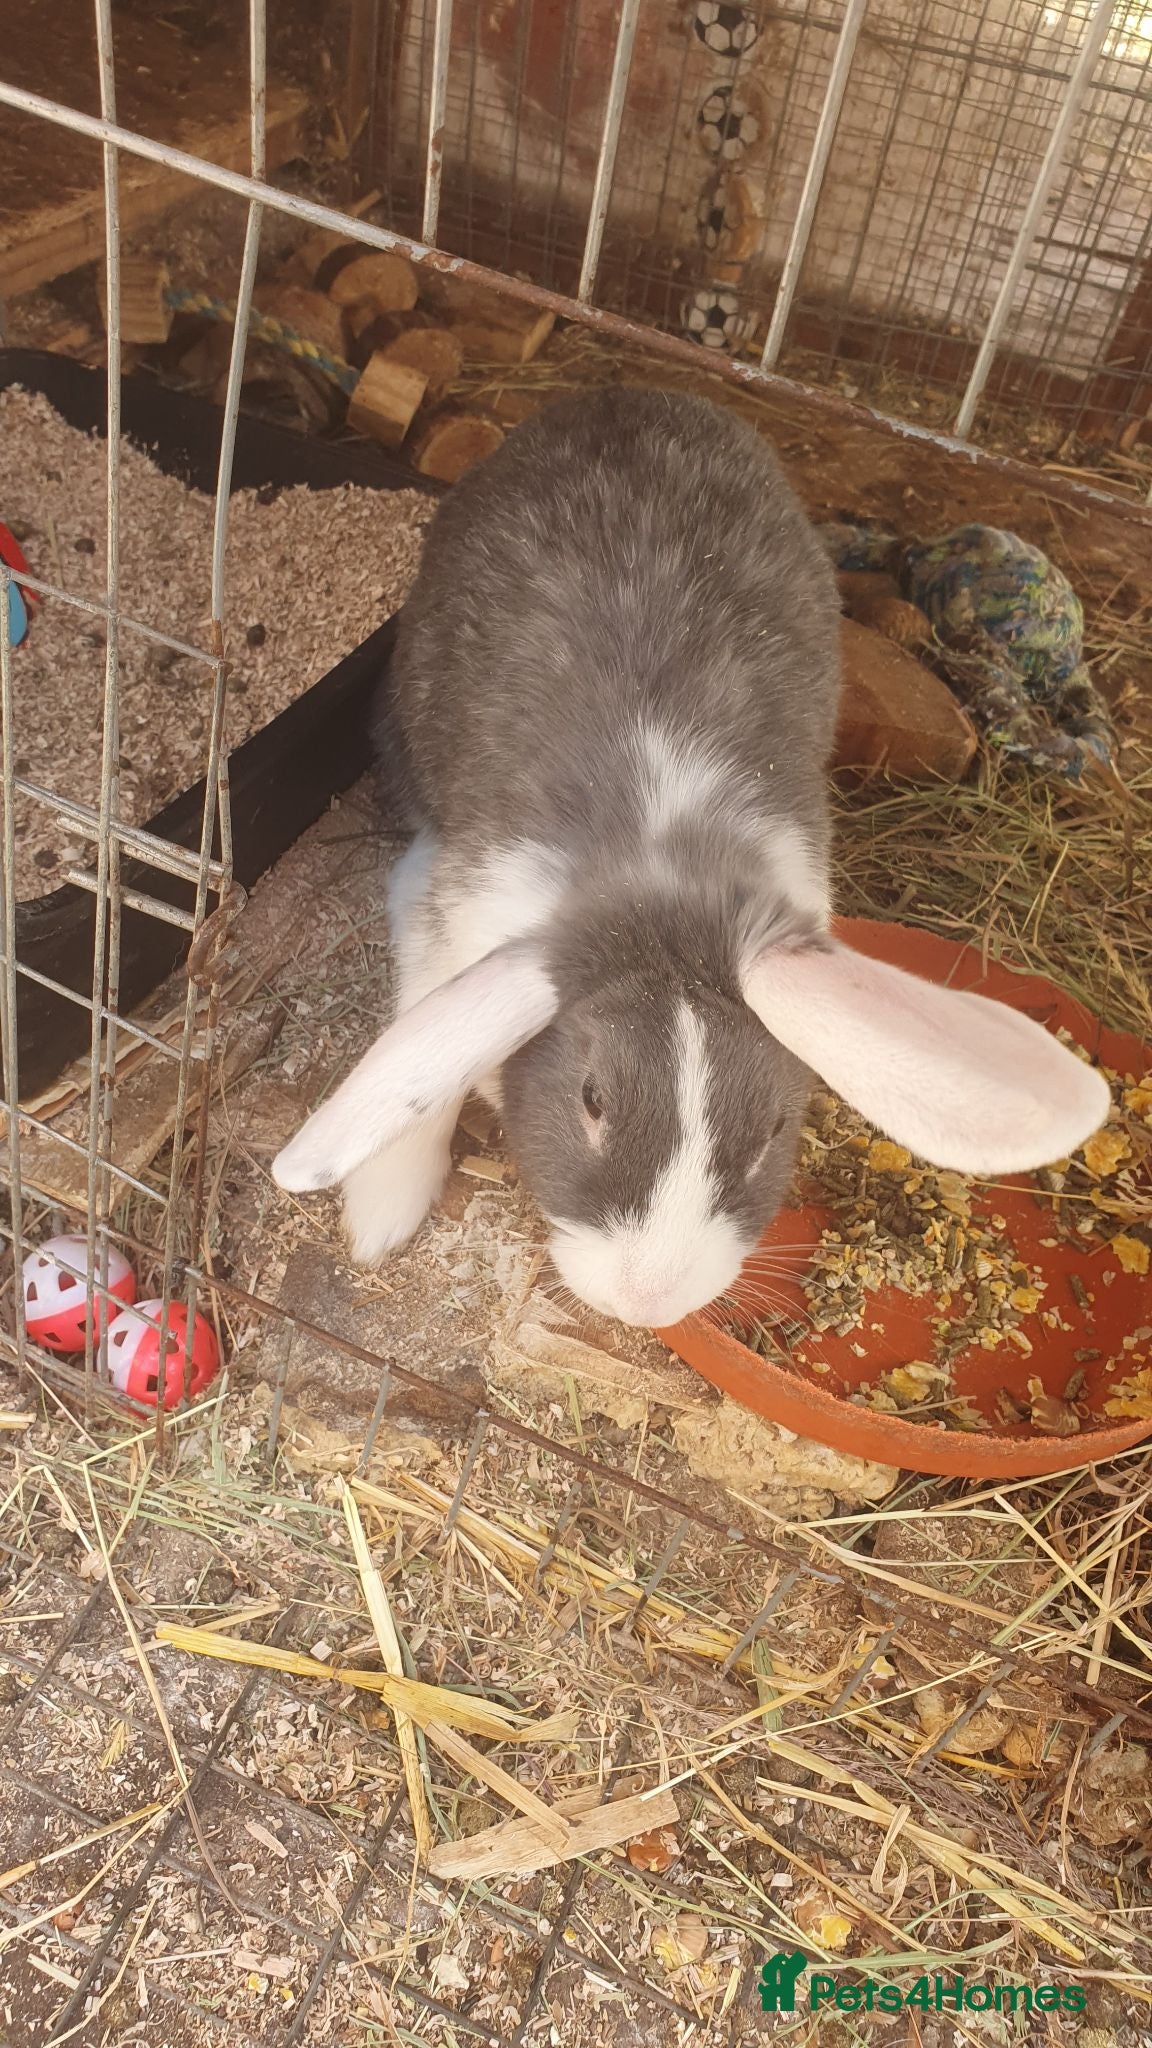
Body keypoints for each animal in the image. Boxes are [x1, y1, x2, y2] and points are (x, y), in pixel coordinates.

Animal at [272, 387, 1110, 1329]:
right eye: (591, 1100)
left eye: (774, 1129)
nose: (649, 1300)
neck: (662, 870)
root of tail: (621, 395)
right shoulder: (447, 925)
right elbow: (423, 1075)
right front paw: (382, 1220)